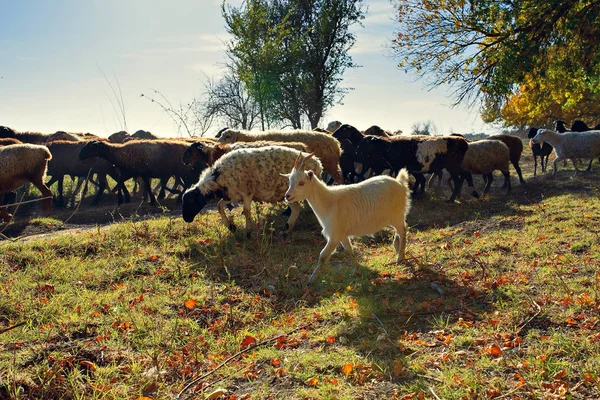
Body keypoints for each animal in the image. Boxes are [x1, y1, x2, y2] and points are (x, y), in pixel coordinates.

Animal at [182, 146, 324, 236]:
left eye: (191, 201)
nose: (186, 219)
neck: (218, 177)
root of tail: (318, 164)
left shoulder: (247, 193)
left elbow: (246, 211)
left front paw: (248, 232)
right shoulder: (233, 195)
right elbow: (219, 206)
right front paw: (231, 227)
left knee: (297, 208)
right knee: (296, 209)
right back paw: (286, 230)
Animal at [284, 151, 410, 284]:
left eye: (301, 183)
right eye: (290, 181)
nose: (287, 196)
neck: (328, 202)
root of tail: (400, 183)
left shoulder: (334, 235)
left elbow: (323, 256)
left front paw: (311, 279)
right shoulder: (342, 234)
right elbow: (349, 250)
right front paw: (356, 269)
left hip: (397, 215)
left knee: (403, 230)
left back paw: (400, 257)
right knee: (399, 230)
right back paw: (396, 247)